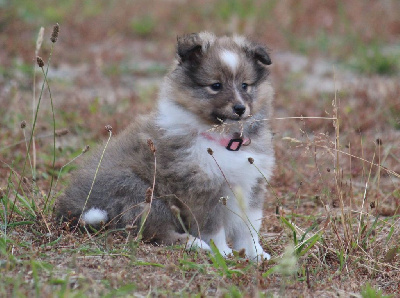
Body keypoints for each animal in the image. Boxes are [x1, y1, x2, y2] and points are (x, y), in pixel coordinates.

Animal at [56, 32, 276, 260]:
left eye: (245, 85)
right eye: (216, 86)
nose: (240, 108)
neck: (224, 140)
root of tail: (72, 206)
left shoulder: (252, 184)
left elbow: (249, 228)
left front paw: (256, 254)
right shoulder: (202, 189)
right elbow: (213, 227)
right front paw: (222, 252)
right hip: (141, 193)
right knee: (158, 232)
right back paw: (196, 244)